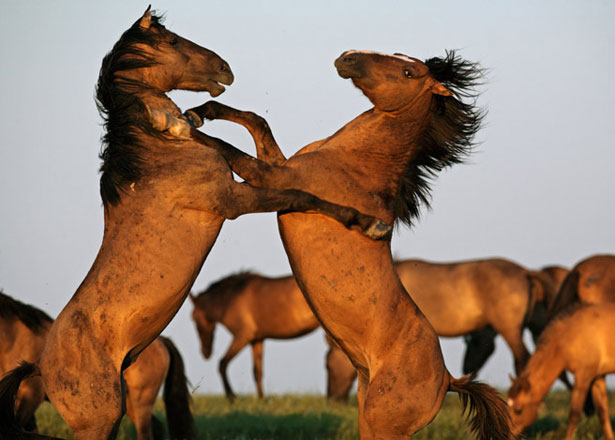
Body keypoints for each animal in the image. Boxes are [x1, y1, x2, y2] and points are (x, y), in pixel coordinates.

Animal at [155, 50, 516, 436]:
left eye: (408, 71)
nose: (349, 57)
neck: (355, 162)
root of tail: (448, 379)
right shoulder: (281, 166)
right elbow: (256, 121)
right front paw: (199, 111)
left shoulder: (275, 176)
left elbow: (231, 150)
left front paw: (177, 124)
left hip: (381, 424)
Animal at [508, 304, 615, 440]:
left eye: (518, 410)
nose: (506, 433)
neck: (572, 332)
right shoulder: (598, 377)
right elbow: (603, 412)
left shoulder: (583, 376)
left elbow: (574, 415)